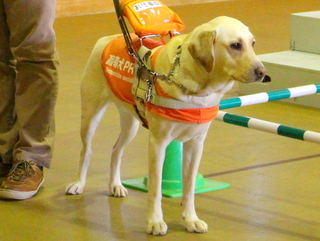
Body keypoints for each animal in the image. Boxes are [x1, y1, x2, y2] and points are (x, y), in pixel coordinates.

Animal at [65, 16, 264, 235]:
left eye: (252, 43)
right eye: (235, 45)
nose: (262, 72)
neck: (195, 86)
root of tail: (108, 38)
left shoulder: (195, 144)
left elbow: (189, 188)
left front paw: (191, 219)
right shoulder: (158, 143)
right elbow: (155, 189)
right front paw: (155, 222)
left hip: (130, 124)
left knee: (116, 150)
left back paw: (115, 185)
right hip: (90, 115)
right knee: (86, 150)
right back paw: (78, 183)